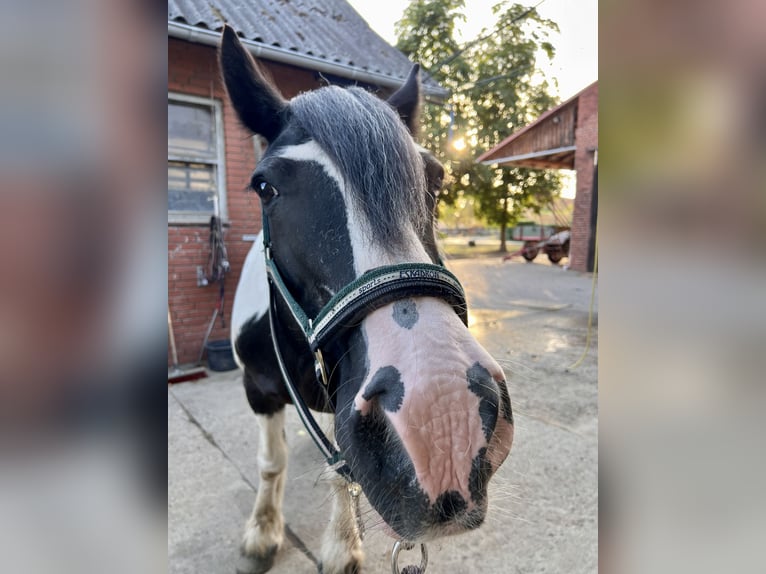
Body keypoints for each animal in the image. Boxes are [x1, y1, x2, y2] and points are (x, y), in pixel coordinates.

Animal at [219, 25, 516, 574]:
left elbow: (343, 473)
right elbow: (271, 463)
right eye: (263, 186)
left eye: (436, 177)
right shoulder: (258, 389)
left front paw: (341, 547)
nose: (444, 421)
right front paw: (262, 533)